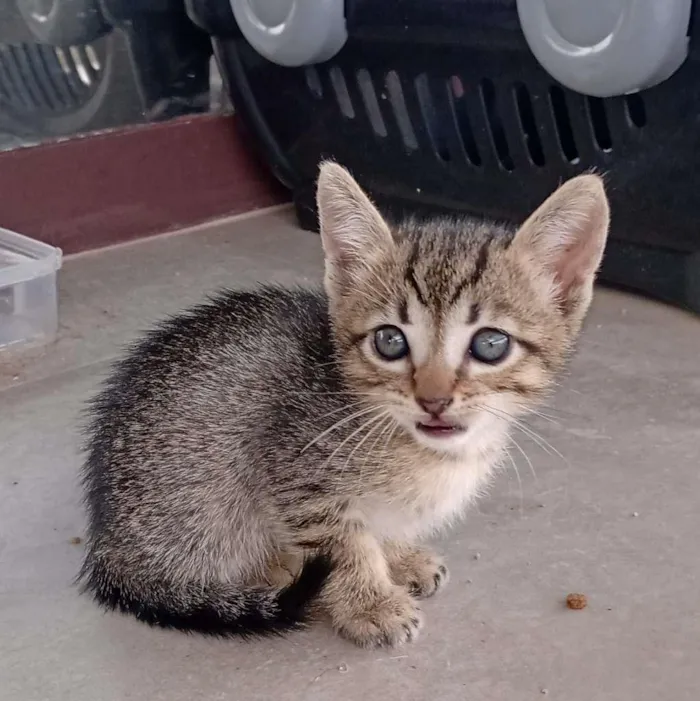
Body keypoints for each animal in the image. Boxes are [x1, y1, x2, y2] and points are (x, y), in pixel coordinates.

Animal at [80, 161, 608, 648]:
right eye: (390, 341)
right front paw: (368, 604)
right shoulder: (297, 477)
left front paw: (399, 556)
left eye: (491, 345)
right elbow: (343, 544)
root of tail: (108, 548)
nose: (433, 400)